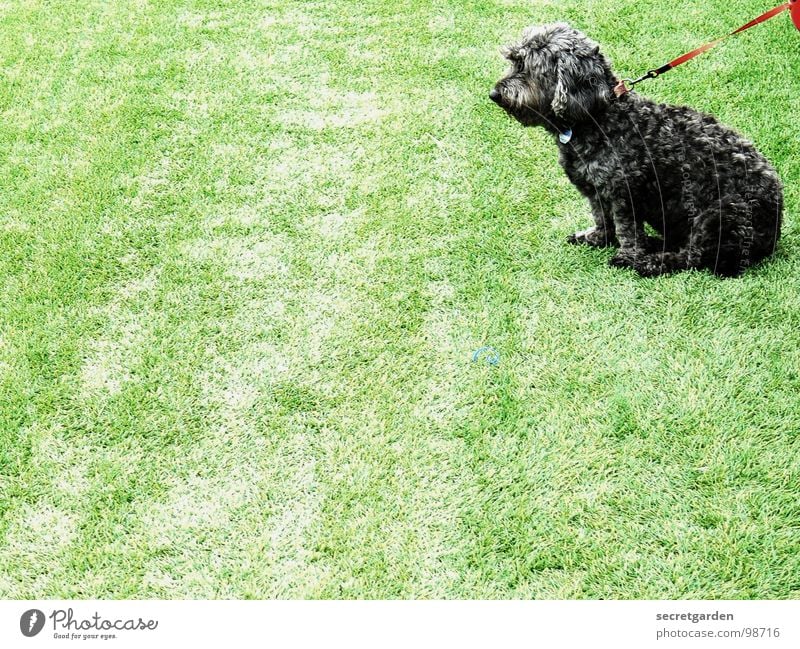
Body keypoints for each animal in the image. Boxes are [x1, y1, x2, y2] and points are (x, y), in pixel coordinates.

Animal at [488, 22, 780, 276]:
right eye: (513, 62)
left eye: (528, 67)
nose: (494, 94)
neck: (598, 118)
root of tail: (775, 230)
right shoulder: (594, 189)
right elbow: (602, 217)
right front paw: (597, 237)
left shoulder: (624, 194)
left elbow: (627, 229)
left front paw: (627, 255)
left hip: (724, 213)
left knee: (693, 256)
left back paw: (649, 262)